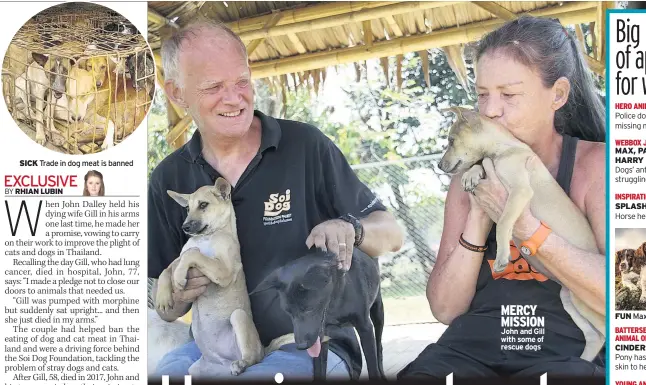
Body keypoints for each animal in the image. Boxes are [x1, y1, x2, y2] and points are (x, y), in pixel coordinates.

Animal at [156, 178, 264, 376]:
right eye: (187, 208)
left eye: (203, 205)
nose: (185, 227)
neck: (206, 238)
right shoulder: (177, 259)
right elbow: (166, 270)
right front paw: (163, 297)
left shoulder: (224, 271)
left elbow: (193, 254)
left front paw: (180, 276)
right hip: (195, 370)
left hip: (239, 317)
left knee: (253, 357)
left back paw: (241, 364)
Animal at [251, 249, 388, 378]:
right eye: (288, 312)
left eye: (309, 309)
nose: (301, 346)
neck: (335, 305)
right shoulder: (322, 338)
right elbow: (319, 369)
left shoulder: (365, 328)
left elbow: (372, 366)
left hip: (378, 312)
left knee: (379, 346)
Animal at [440, 106, 608, 364]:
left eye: (450, 140)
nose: (439, 166)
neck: (504, 149)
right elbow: (480, 164)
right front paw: (472, 174)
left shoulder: (520, 191)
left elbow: (503, 223)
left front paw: (502, 257)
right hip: (570, 299)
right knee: (595, 336)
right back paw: (583, 359)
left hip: (586, 304)